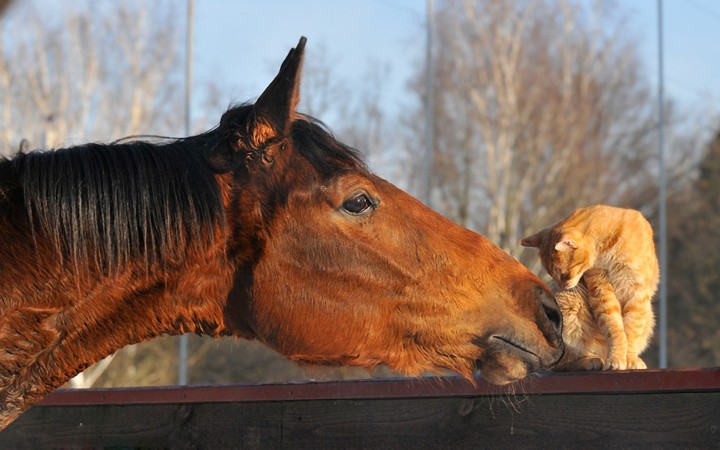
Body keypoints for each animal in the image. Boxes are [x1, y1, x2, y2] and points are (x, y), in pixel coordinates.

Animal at [520, 206, 660, 370]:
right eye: (551, 275)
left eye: (563, 275)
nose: (563, 286)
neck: (608, 248)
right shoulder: (601, 290)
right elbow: (615, 328)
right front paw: (616, 358)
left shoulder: (636, 293)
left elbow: (631, 330)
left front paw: (629, 358)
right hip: (568, 304)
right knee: (561, 363)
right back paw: (589, 360)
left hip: (649, 316)